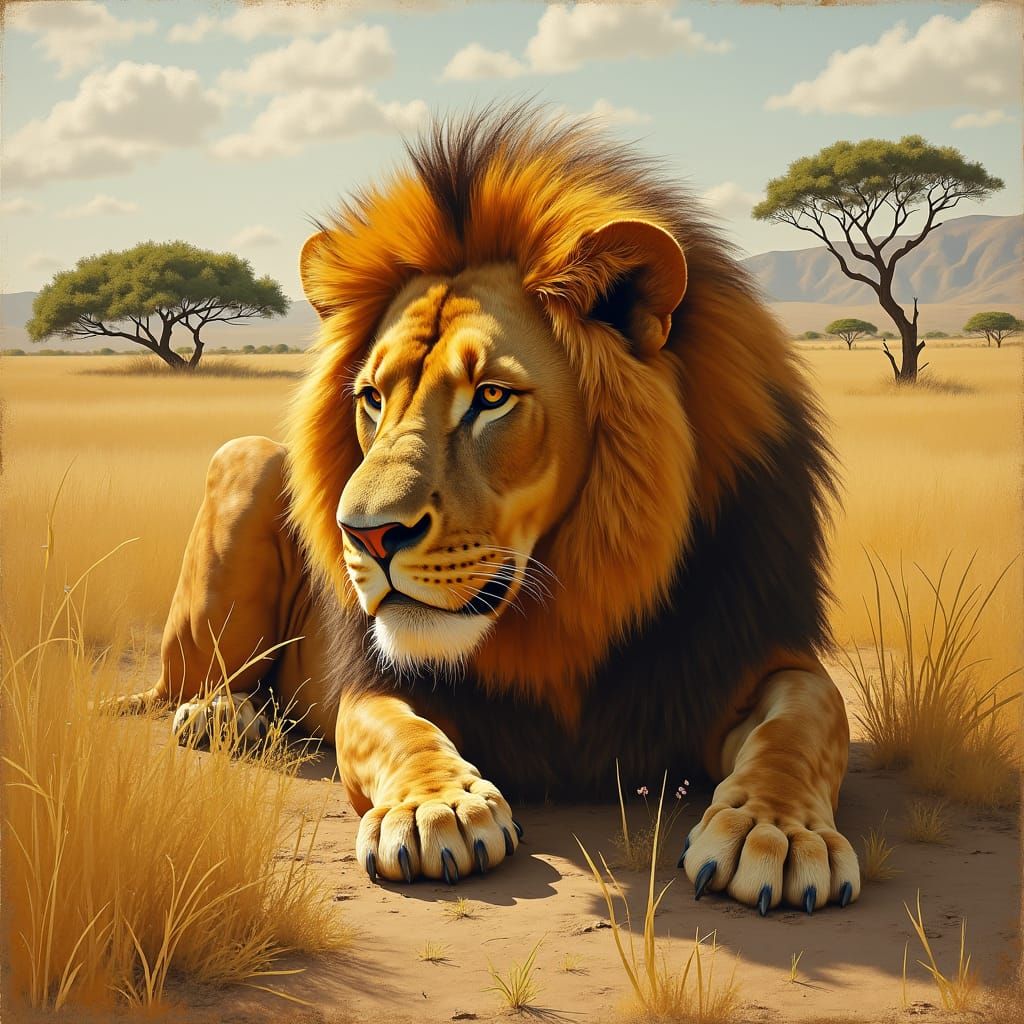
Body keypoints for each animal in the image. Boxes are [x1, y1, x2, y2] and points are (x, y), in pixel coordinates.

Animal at [121, 106, 860, 913]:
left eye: (491, 397)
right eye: (372, 396)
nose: (367, 535)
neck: (568, 612)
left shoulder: (750, 657)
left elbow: (806, 717)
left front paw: (776, 831)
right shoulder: (379, 682)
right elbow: (395, 730)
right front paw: (434, 808)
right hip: (246, 462)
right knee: (182, 686)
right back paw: (224, 716)